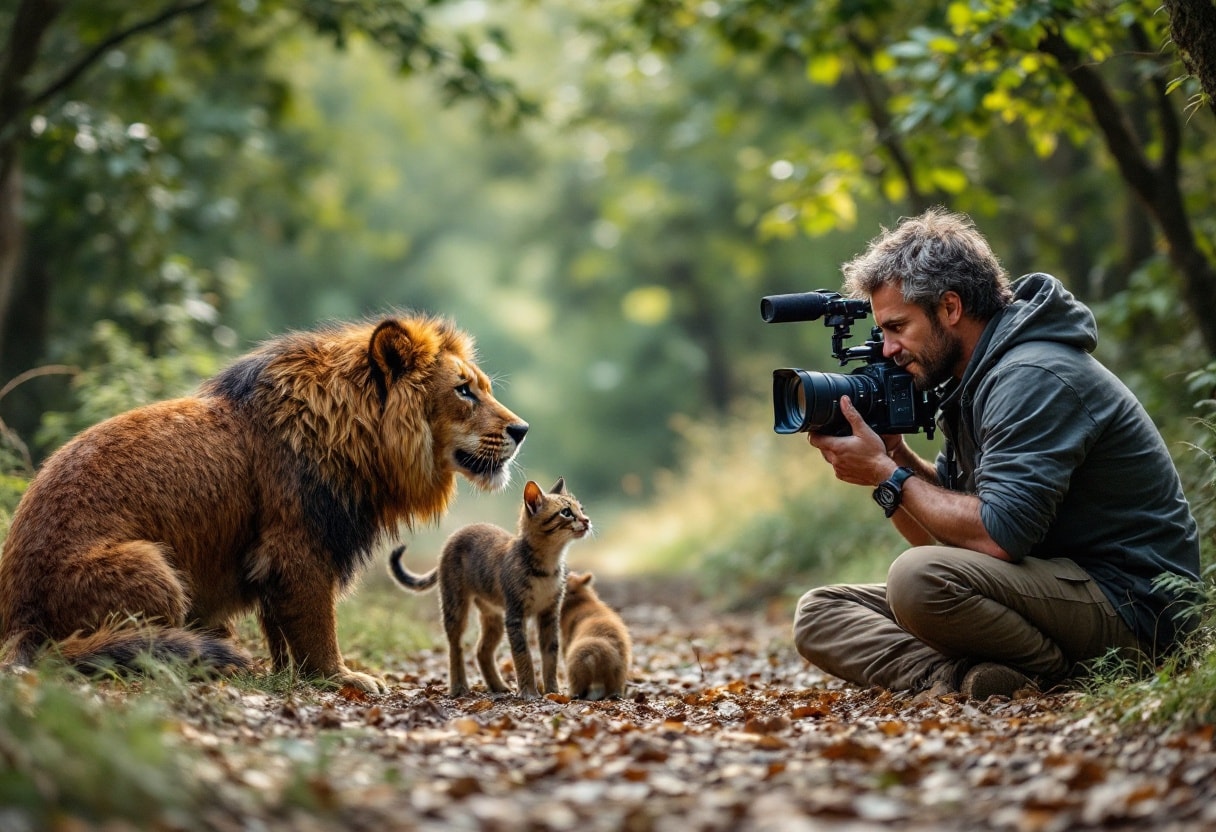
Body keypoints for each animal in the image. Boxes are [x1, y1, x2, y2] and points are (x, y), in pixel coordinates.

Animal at [0, 311, 527, 690]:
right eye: (464, 391)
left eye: (483, 387)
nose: (522, 430)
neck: (358, 437)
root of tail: (17, 622)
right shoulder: (298, 548)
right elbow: (317, 625)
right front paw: (341, 678)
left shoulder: (273, 560)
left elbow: (281, 629)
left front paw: (285, 676)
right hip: (153, 568)